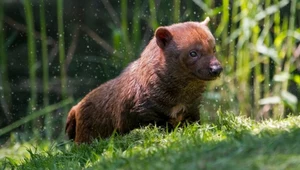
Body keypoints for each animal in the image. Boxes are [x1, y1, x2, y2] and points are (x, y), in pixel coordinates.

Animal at [67, 17, 224, 143]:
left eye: (213, 49)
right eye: (193, 53)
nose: (216, 69)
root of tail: (75, 108)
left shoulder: (192, 108)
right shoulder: (145, 114)